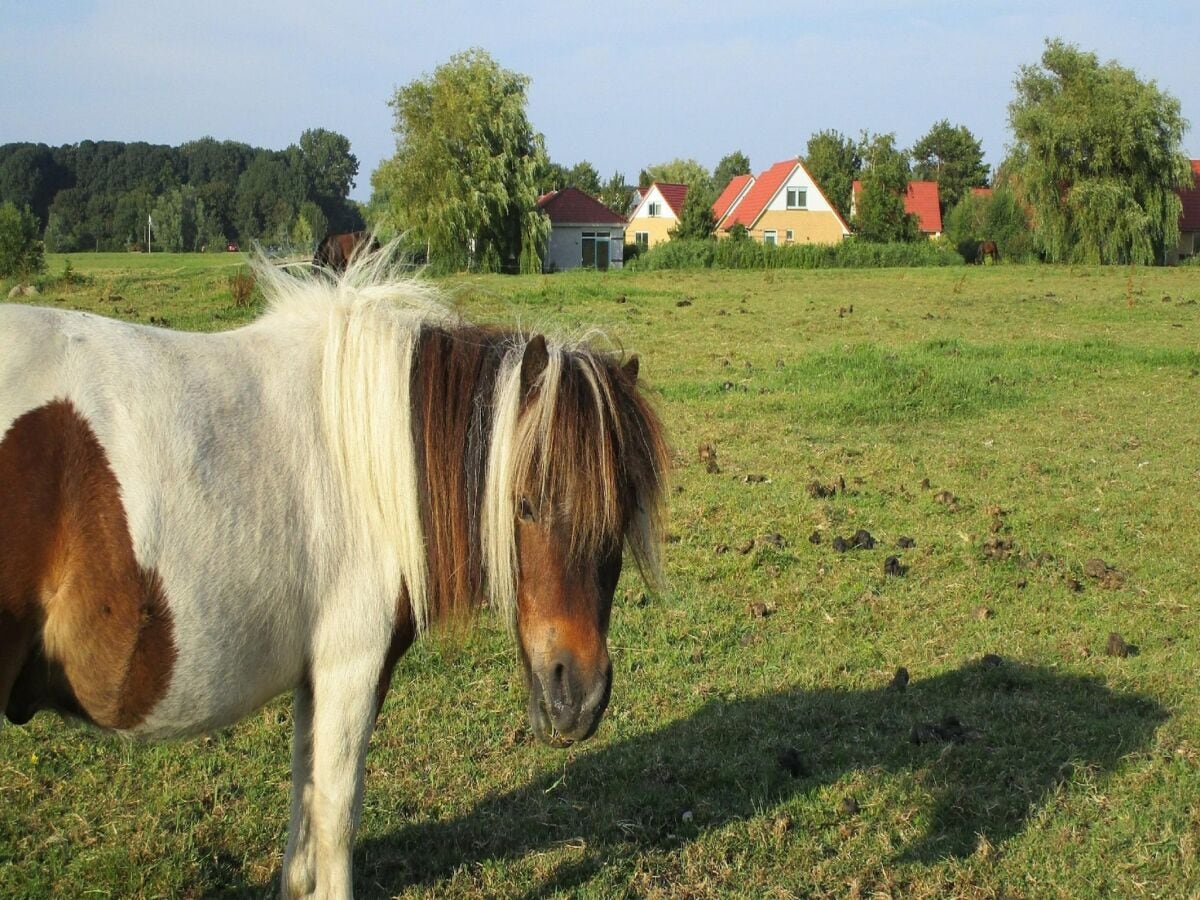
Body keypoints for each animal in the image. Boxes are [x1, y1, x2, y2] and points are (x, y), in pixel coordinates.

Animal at [0, 250, 672, 897]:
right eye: (524, 504)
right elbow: (335, 814)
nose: (577, 700)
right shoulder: (351, 665)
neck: (367, 462)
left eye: (622, 512)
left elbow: (303, 812)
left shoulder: (313, 675)